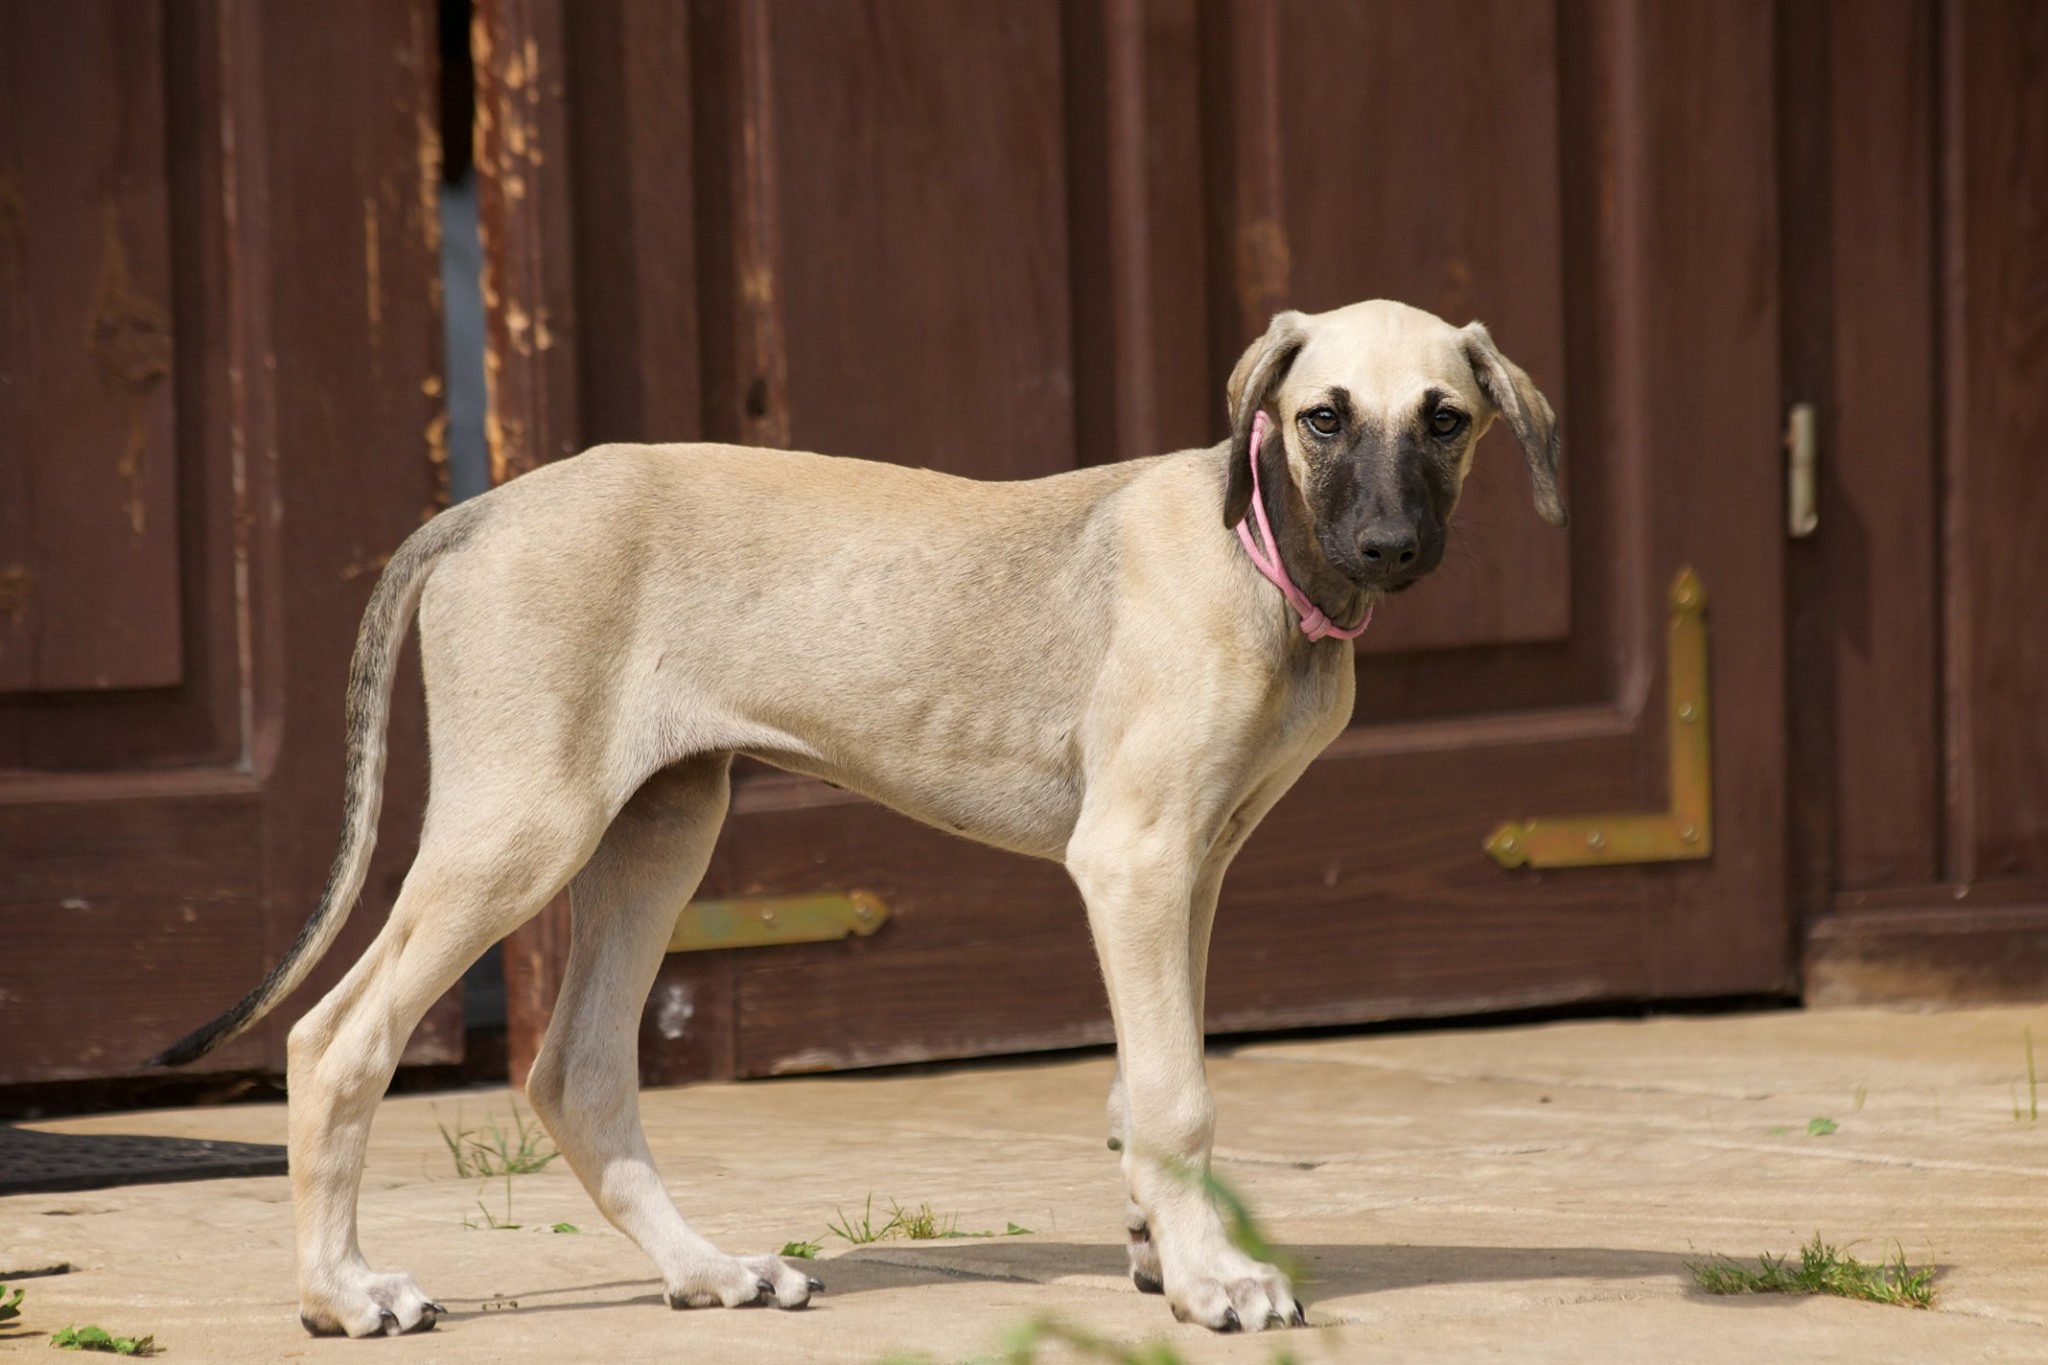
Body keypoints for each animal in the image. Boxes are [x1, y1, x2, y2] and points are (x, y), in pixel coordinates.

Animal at [155, 296, 1564, 1334]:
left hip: (657, 830)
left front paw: (1161, 1247)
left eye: (1444, 420)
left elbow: (1143, 1078)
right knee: (337, 1040)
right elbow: (1176, 1093)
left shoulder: (1192, 870)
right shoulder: (1134, 859)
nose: (1388, 549)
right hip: (522, 828)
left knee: (579, 1072)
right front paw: (1214, 1280)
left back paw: (708, 1271)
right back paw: (341, 1296)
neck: (1257, 560)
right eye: (1321, 418)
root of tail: (482, 507)